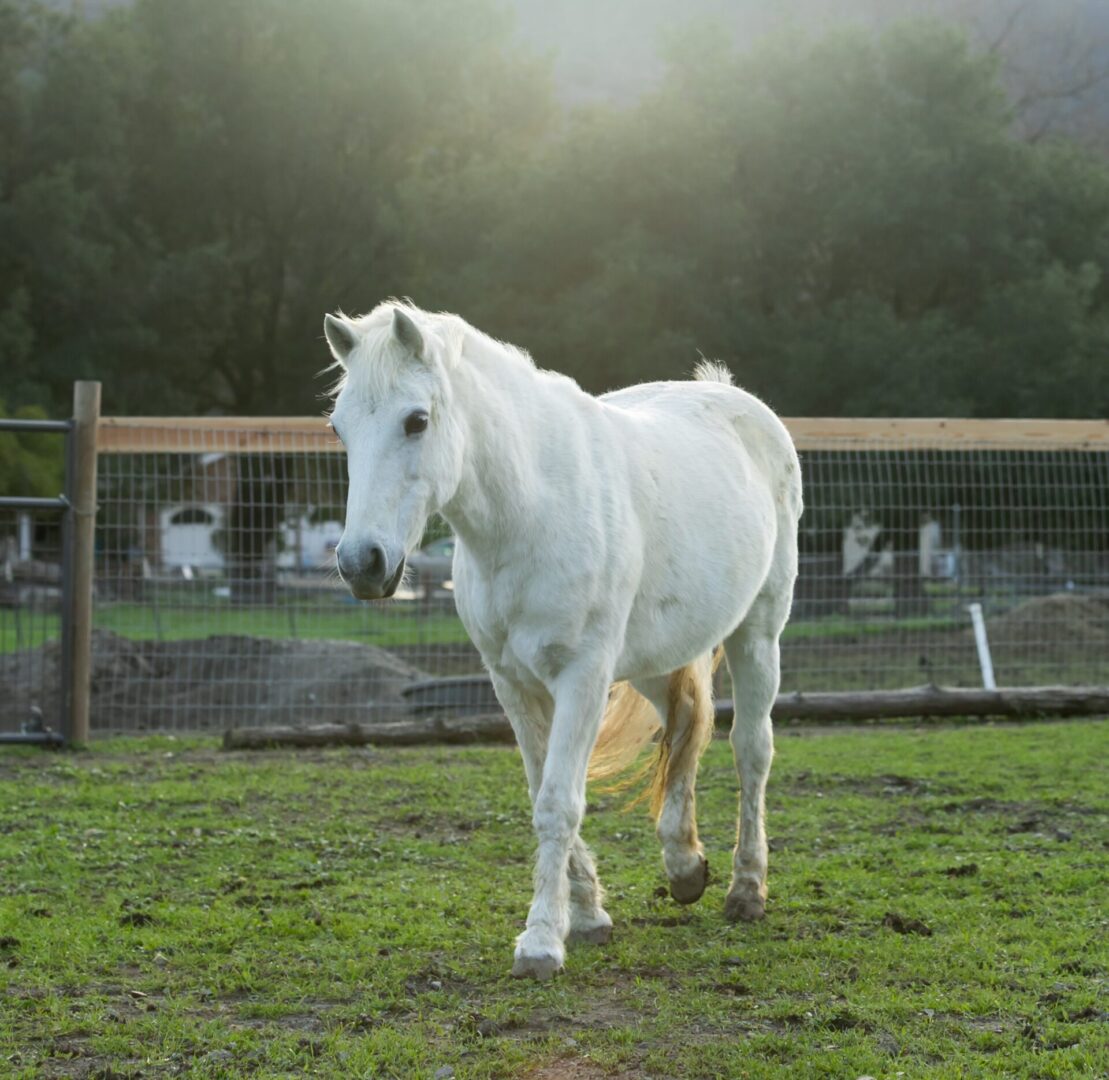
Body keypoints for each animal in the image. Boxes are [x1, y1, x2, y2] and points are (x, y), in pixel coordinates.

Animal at [323, 301, 802, 980]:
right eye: (339, 429)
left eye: (416, 420)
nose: (361, 563)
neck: (530, 511)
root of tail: (733, 397)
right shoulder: (512, 683)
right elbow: (541, 789)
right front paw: (589, 915)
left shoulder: (583, 676)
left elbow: (559, 801)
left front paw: (542, 942)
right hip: (655, 657)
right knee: (686, 724)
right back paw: (685, 867)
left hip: (759, 630)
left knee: (751, 749)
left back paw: (746, 890)